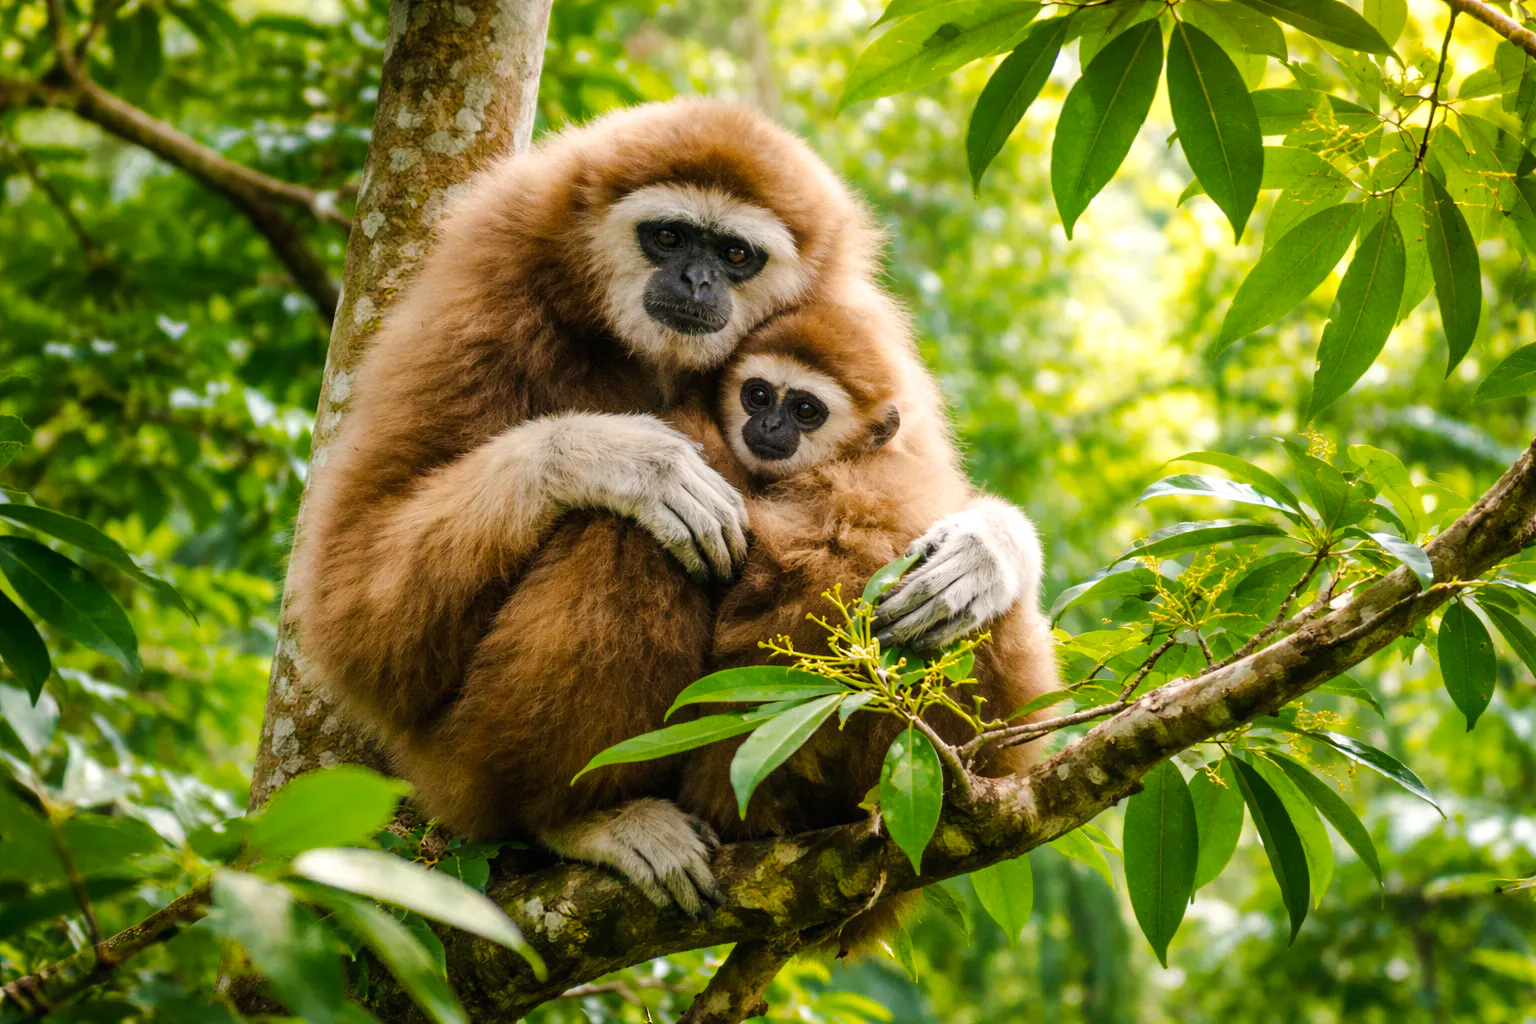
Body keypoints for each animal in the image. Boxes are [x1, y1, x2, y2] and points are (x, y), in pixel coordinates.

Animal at [293, 99, 1050, 916]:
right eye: (668, 236)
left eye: (737, 254)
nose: (694, 277)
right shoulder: (487, 281)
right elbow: (357, 609)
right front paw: (625, 460)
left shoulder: (848, 311)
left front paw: (987, 548)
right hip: (459, 766)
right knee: (628, 534)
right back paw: (578, 816)